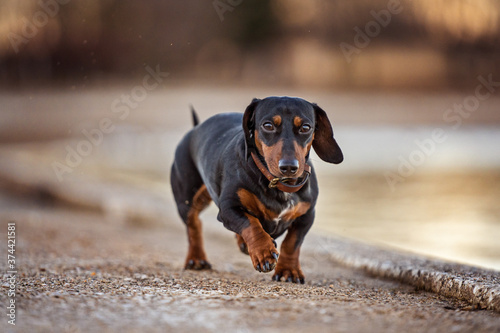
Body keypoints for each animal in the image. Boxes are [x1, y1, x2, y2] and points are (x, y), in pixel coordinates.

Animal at [170, 96, 342, 282]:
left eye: (305, 127)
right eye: (268, 125)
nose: (289, 167)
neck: (278, 184)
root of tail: (196, 128)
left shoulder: (306, 215)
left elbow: (292, 242)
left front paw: (288, 271)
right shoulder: (228, 209)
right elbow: (251, 224)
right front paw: (263, 252)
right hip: (187, 201)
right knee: (193, 225)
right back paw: (196, 259)